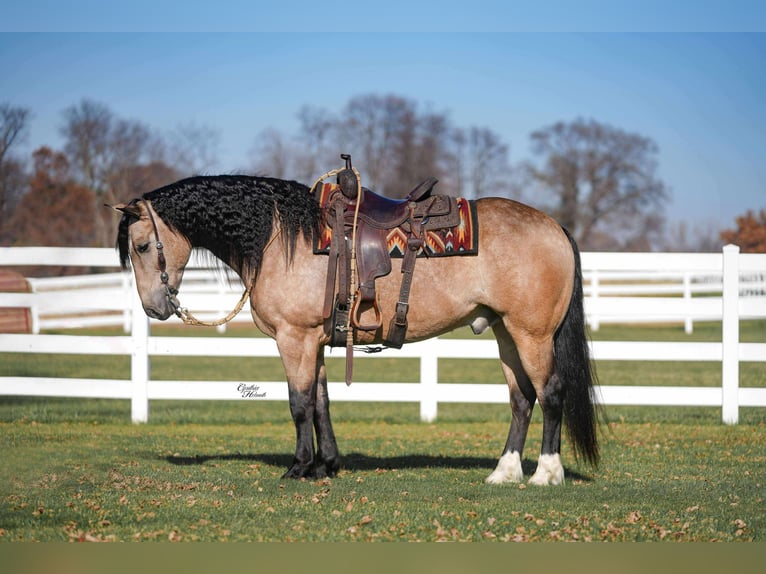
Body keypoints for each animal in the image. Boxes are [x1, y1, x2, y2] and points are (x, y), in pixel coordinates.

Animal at [112, 173, 600, 485]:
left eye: (142, 245)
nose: (155, 308)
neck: (280, 238)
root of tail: (554, 227)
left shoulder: (295, 338)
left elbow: (299, 404)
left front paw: (298, 467)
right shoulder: (317, 340)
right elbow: (321, 403)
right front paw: (326, 464)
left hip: (532, 335)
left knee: (551, 393)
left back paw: (547, 473)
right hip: (505, 333)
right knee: (522, 399)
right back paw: (504, 472)